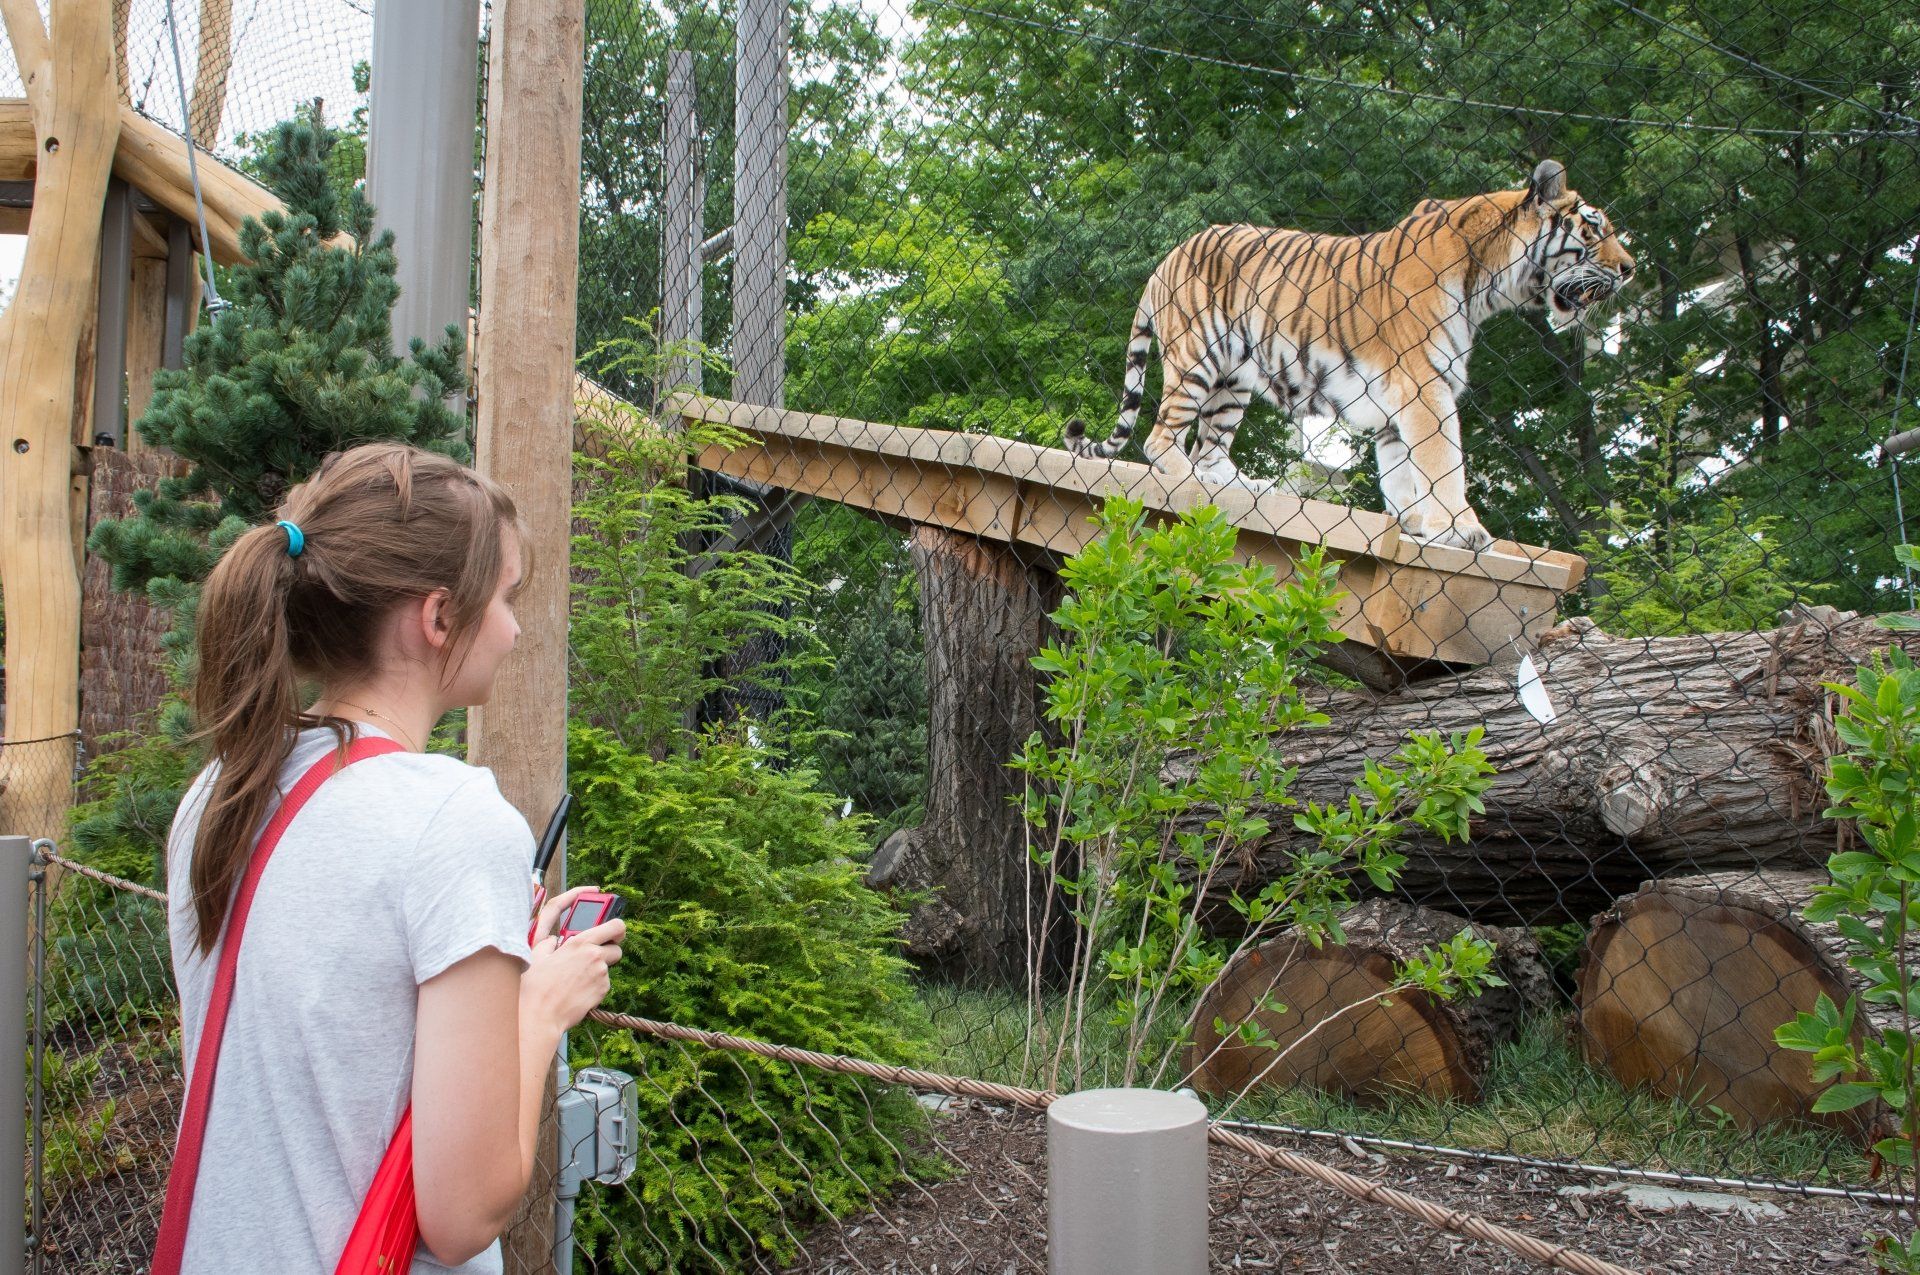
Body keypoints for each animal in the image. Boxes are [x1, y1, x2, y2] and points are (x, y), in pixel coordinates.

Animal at [1067, 158, 1635, 549]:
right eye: (1595, 230)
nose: (1630, 268)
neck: (1487, 281)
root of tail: (1166, 259)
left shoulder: (1400, 400)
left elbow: (1403, 473)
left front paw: (1418, 524)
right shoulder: (1424, 385)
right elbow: (1443, 461)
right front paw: (1462, 528)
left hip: (1236, 379)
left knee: (1211, 446)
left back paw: (1242, 487)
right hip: (1199, 356)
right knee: (1161, 436)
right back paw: (1191, 479)